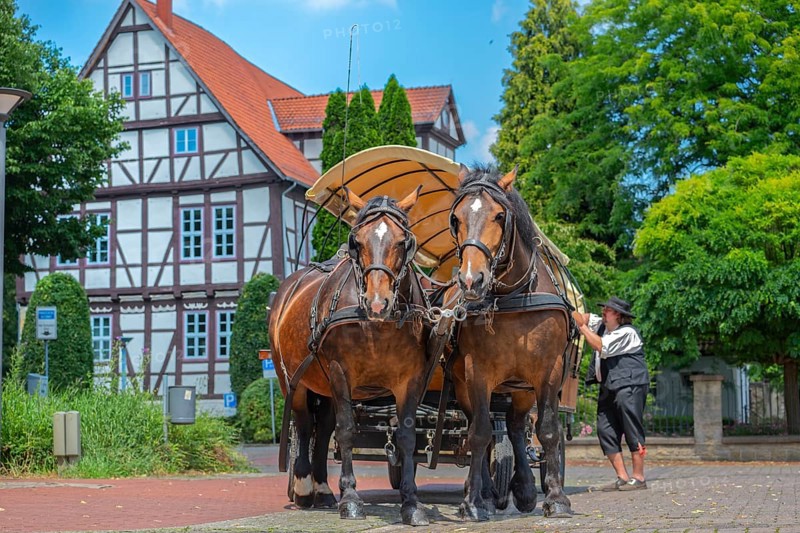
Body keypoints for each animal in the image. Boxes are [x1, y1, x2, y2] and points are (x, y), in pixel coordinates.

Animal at [268, 187, 433, 526]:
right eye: (357, 242)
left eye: (404, 241)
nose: (378, 303)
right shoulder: (340, 370)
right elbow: (346, 432)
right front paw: (351, 499)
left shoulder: (410, 379)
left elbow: (407, 436)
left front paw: (411, 503)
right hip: (295, 379)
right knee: (304, 425)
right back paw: (304, 487)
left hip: (324, 385)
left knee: (323, 428)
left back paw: (322, 489)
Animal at [447, 164, 575, 520]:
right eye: (456, 219)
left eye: (500, 216)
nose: (471, 280)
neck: (513, 296)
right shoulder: (477, 373)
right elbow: (479, 434)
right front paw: (472, 502)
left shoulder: (548, 372)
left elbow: (548, 431)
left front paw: (556, 498)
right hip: (467, 385)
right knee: (483, 429)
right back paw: (488, 493)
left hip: (521, 388)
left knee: (517, 428)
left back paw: (525, 490)